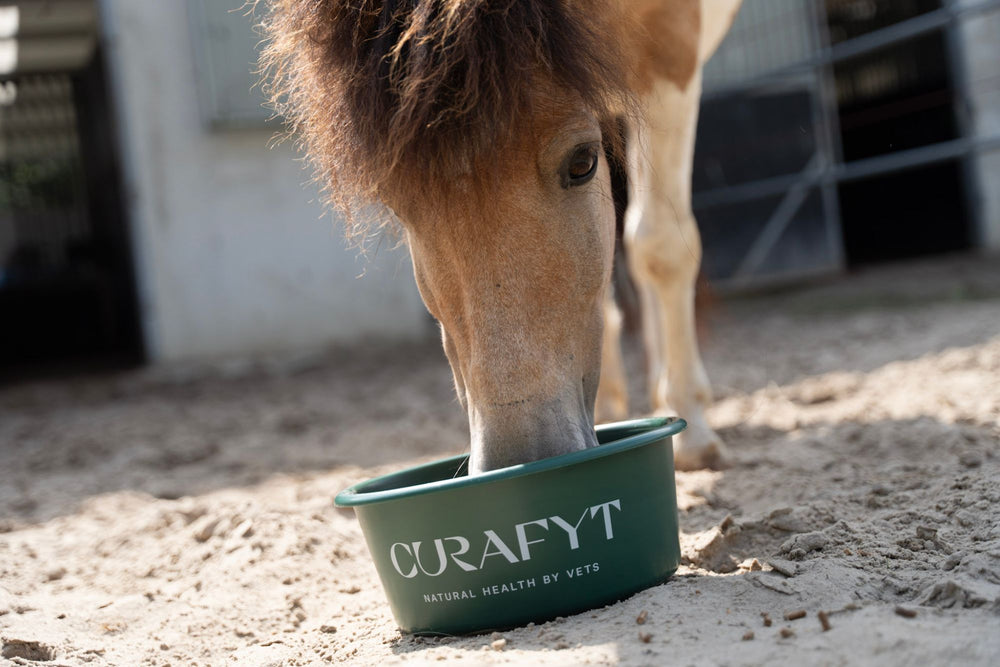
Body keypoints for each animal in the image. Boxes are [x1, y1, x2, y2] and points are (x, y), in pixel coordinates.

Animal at [258, 0, 741, 473]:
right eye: (396, 204)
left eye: (582, 162)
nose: (527, 454)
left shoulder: (670, 48)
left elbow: (661, 248)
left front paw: (692, 427)